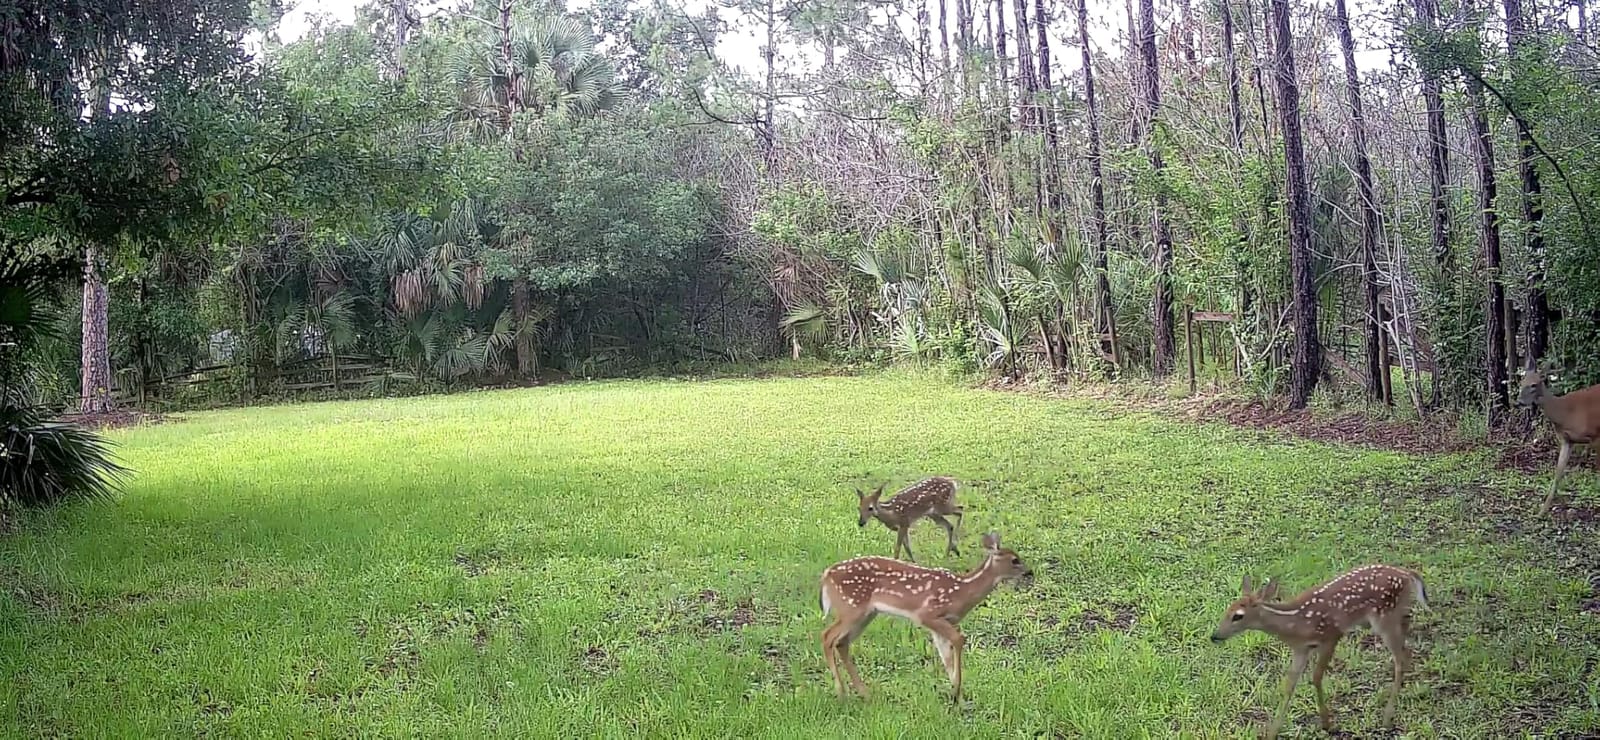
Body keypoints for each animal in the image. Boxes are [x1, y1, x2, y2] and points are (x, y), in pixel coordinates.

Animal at [819, 532, 1031, 702]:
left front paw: (958, 697)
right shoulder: (928, 614)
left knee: (842, 643)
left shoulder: (940, 623)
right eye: (1015, 560)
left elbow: (946, 658)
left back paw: (864, 693)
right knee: (827, 636)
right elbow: (959, 639)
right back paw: (841, 693)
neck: (962, 591)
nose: (1030, 572)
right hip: (851, 608)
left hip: (866, 613)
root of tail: (827, 575)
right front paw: (957, 694)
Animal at [1210, 565, 1427, 740]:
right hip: (1396, 614)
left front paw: (1328, 724)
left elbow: (1316, 677)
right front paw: (1272, 732)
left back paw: (1387, 718)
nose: (1215, 636)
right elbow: (1289, 686)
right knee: (1407, 650)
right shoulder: (1300, 649)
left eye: (1238, 616)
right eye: (1226, 610)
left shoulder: (1331, 635)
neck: (1295, 624)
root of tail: (1407, 573)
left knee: (1400, 657)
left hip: (1385, 617)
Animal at [1516, 359, 1600, 514]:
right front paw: (1542, 511)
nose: (1519, 402)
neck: (1565, 413)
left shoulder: (1596, 435)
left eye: (1534, 385)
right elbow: (1558, 473)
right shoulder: (1567, 440)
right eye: (1522, 382)